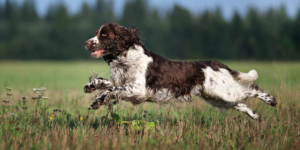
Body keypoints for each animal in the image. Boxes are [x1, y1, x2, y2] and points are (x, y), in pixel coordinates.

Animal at [83, 22, 276, 120]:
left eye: (104, 35)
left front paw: (99, 98)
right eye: (97, 32)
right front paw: (92, 89)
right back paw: (255, 115)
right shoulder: (122, 82)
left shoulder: (137, 89)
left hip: (223, 91)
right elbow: (108, 85)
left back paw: (271, 100)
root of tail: (217, 64)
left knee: (251, 89)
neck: (125, 58)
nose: (86, 42)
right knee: (240, 103)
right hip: (216, 97)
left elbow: (113, 90)